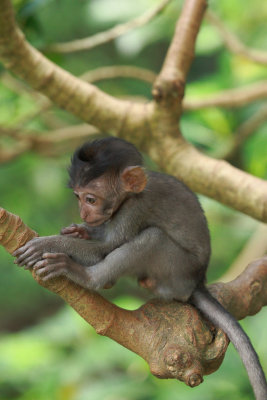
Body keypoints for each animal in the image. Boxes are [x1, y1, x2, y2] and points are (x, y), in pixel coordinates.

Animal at [14, 137, 267, 396]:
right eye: (78, 196)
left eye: (91, 199)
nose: (83, 213)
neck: (128, 197)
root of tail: (198, 281)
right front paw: (80, 231)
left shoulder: (135, 208)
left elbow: (105, 248)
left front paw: (48, 243)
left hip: (176, 271)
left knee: (152, 237)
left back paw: (86, 276)